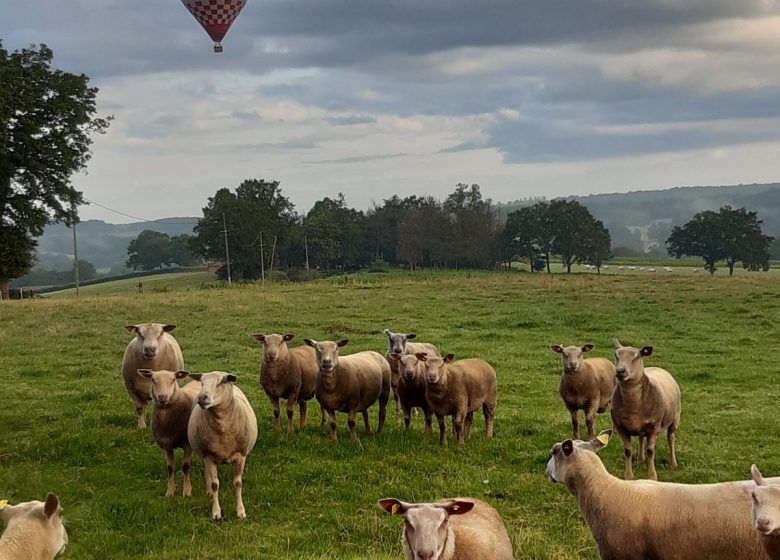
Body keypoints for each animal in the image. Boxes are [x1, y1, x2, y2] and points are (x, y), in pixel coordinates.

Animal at [187, 372, 258, 520]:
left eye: (223, 381)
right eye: (202, 382)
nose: (202, 398)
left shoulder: (241, 456)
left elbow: (238, 483)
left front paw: (240, 512)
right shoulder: (208, 455)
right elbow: (215, 484)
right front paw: (216, 513)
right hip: (203, 453)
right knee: (207, 473)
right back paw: (208, 490)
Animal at [612, 340, 680, 480]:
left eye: (636, 357)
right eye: (616, 355)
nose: (620, 371)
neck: (632, 404)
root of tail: (658, 368)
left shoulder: (654, 427)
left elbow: (651, 451)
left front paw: (652, 476)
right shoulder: (620, 427)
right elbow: (627, 451)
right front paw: (628, 476)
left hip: (675, 418)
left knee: (671, 438)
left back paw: (673, 463)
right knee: (641, 438)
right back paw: (640, 459)